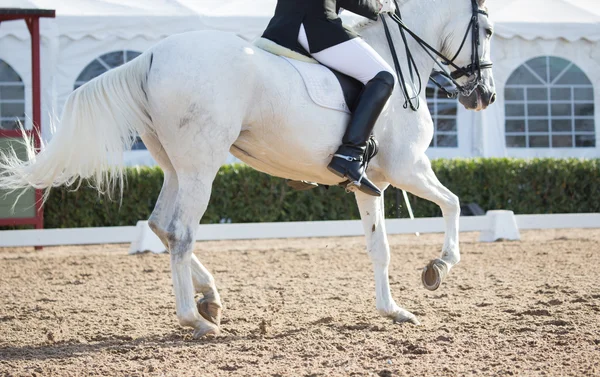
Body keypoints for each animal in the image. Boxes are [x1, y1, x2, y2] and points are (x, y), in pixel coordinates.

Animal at [0, 0, 494, 336]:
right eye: (487, 29)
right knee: (181, 232)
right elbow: (453, 204)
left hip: (176, 166)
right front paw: (439, 267)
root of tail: (152, 55)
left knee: (160, 225)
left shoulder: (368, 184)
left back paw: (210, 299)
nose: (484, 95)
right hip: (202, 166)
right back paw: (195, 320)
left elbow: (380, 248)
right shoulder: (410, 167)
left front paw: (393, 311)